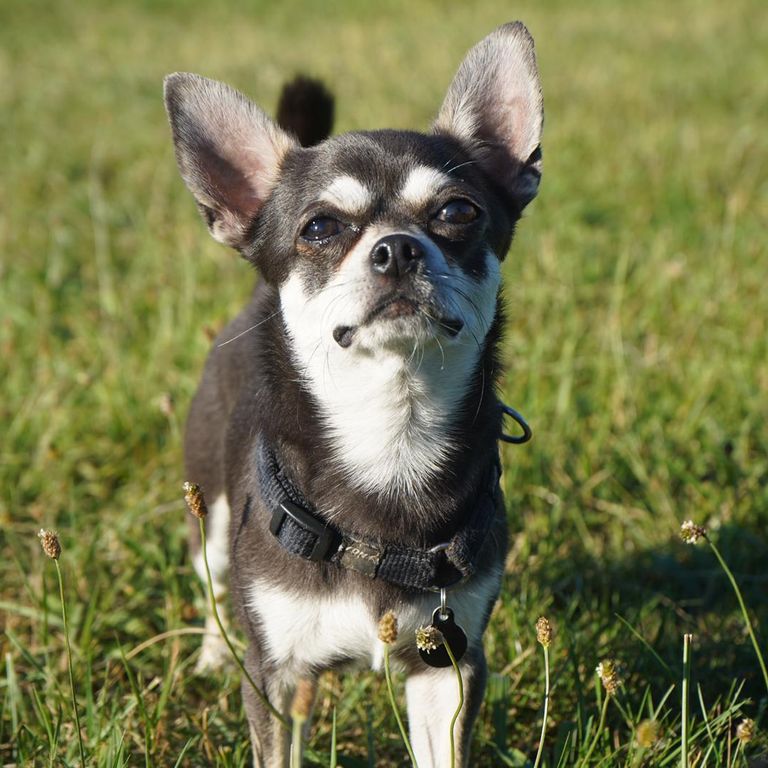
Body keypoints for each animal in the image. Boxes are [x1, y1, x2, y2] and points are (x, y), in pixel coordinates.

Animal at [165, 22, 544, 768]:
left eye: (458, 211)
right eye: (318, 228)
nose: (397, 248)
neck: (391, 432)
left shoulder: (449, 670)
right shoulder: (275, 676)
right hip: (212, 518)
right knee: (215, 583)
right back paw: (211, 654)